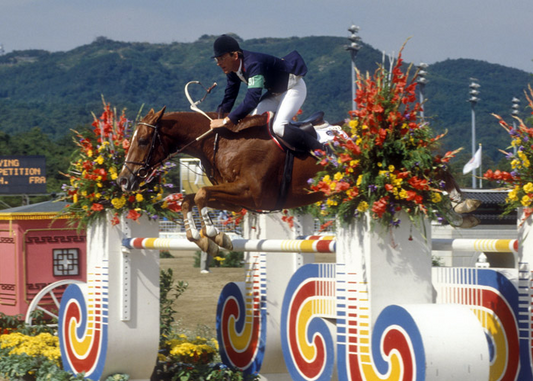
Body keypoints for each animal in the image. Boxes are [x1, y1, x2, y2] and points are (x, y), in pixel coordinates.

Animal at [116, 107, 478, 255]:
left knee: (434, 168)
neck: (223, 141)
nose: (124, 181)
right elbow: (190, 198)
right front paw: (203, 238)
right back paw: (459, 210)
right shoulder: (238, 196)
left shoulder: (252, 195)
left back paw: (463, 206)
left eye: (144, 141)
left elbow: (202, 194)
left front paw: (216, 235)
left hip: (396, 167)